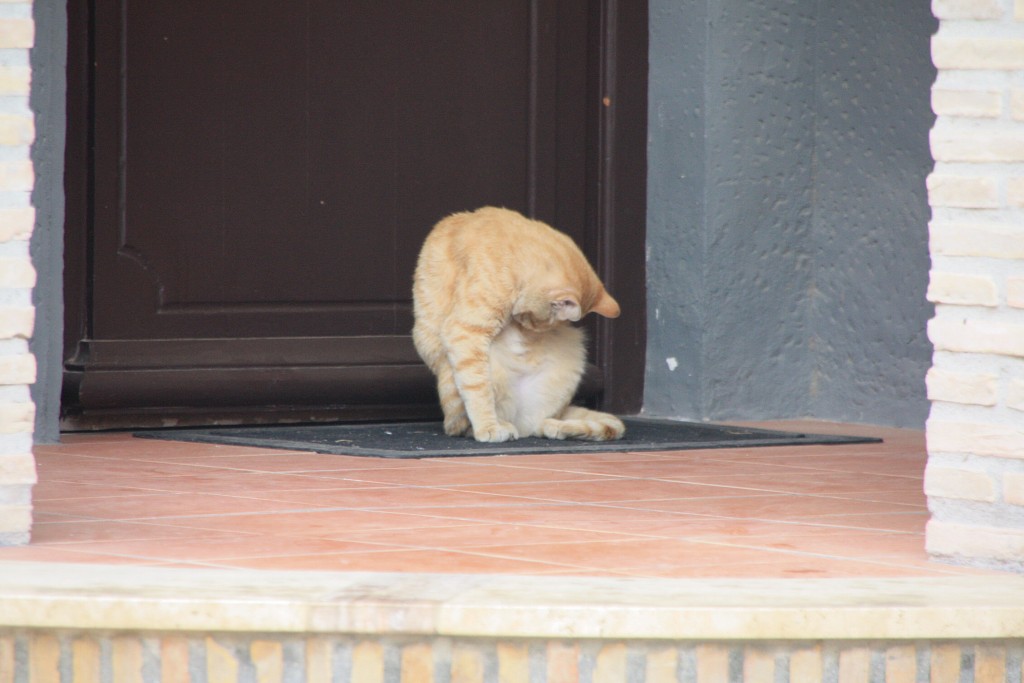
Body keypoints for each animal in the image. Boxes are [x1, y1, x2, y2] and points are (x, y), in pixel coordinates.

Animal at [409, 208, 622, 444]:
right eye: (539, 321)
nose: (523, 325)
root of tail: (521, 424)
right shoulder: (465, 331)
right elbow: (479, 390)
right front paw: (488, 427)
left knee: (542, 424)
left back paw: (554, 427)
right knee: (459, 423)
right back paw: (499, 425)